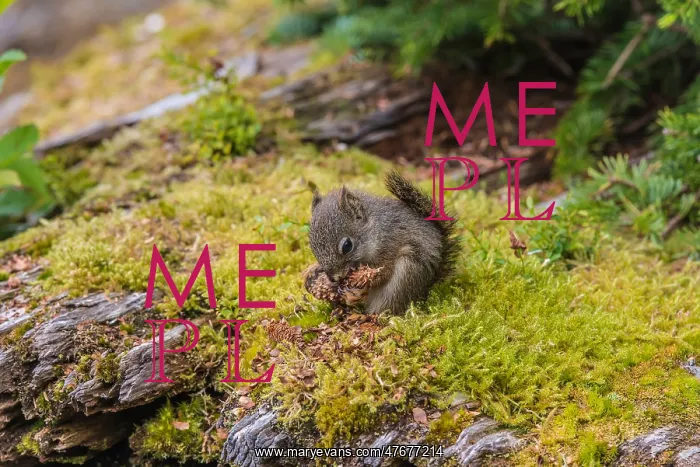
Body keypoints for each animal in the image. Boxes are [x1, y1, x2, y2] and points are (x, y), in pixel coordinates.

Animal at [308, 170, 460, 315]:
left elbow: (384, 273)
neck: (375, 230)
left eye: (347, 246)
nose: (334, 278)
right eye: (312, 247)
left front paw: (355, 283)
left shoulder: (389, 248)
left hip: (405, 274)